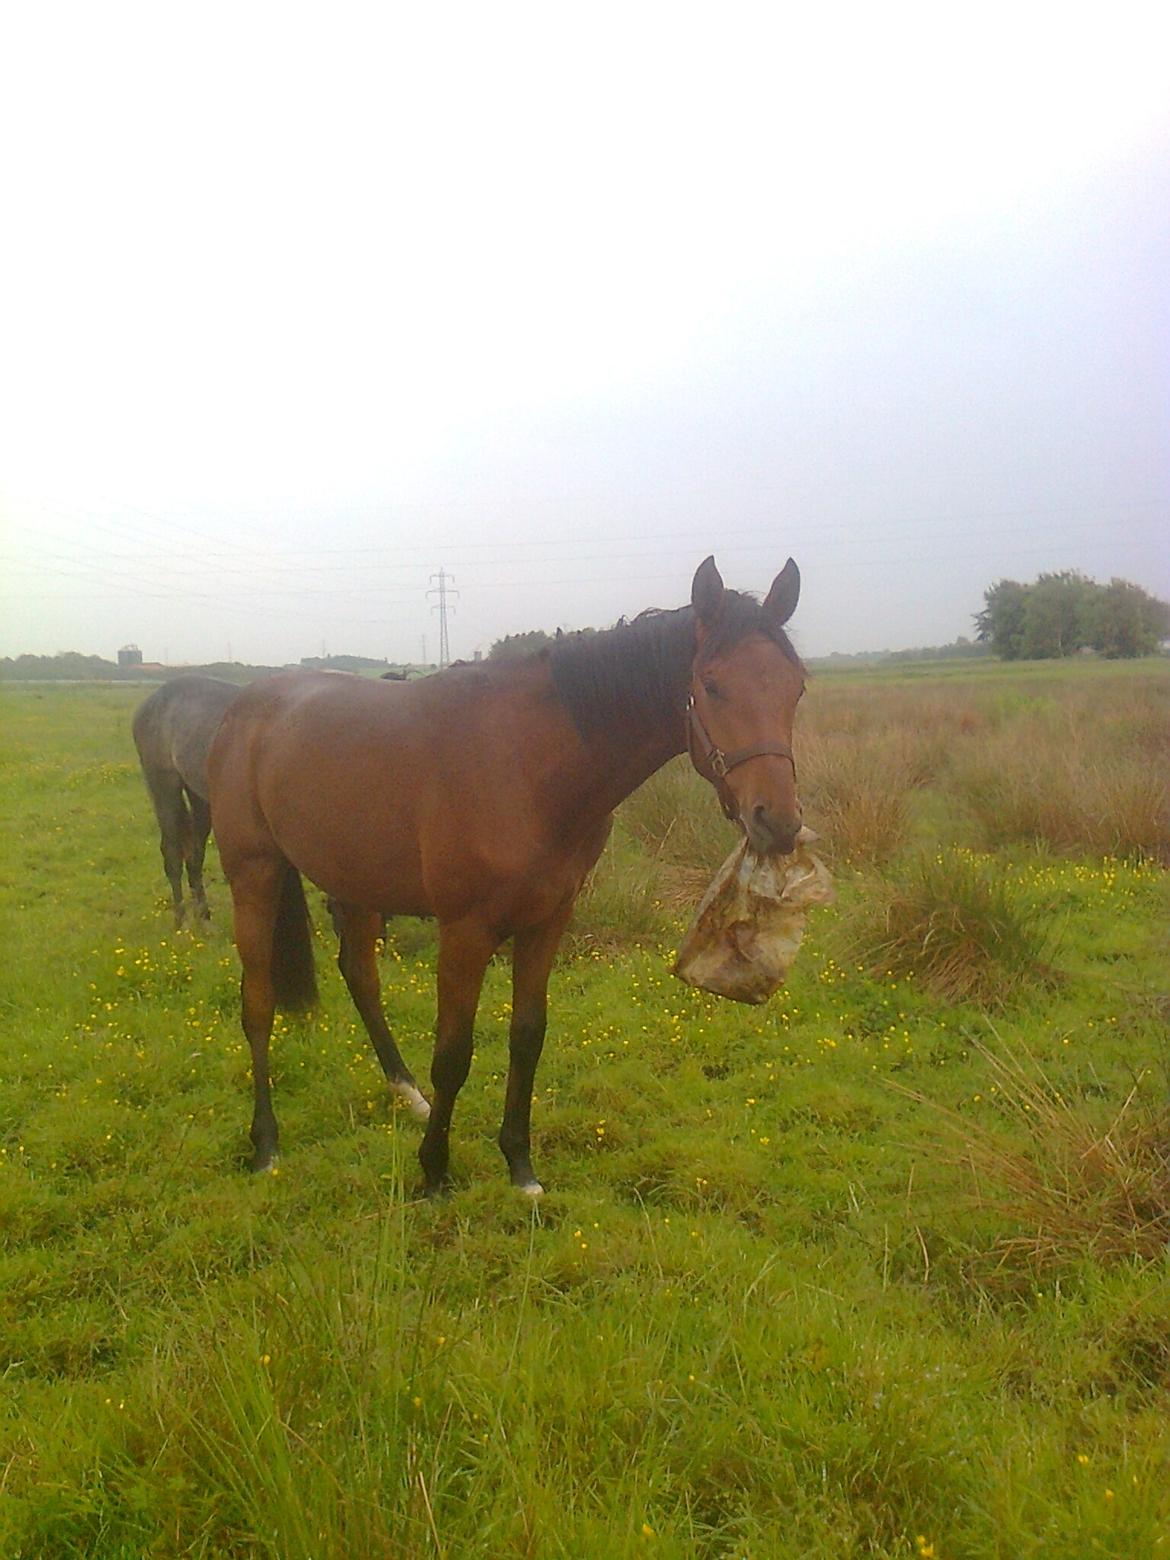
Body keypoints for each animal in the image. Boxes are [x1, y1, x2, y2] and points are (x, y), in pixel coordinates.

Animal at [132, 673, 240, 917]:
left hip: (199, 796)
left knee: (193, 856)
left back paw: (204, 917)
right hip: (164, 788)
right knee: (173, 854)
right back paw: (181, 919)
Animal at [209, 555, 804, 1185]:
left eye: (796, 688)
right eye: (711, 685)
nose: (778, 821)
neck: (525, 765)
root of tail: (245, 707)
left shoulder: (547, 921)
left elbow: (528, 1035)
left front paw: (520, 1164)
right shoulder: (465, 933)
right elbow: (453, 1055)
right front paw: (435, 1171)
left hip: (356, 881)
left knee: (361, 977)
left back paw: (406, 1093)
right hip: (254, 875)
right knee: (258, 1003)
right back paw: (266, 1145)